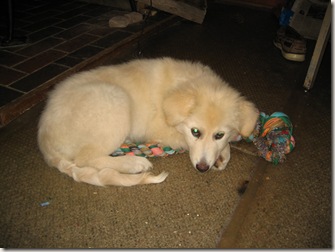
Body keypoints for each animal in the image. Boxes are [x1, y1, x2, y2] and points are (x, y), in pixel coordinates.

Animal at [39, 57, 260, 187]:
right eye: (195, 132)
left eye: (219, 134)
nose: (203, 168)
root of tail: (44, 140)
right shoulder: (160, 129)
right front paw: (223, 153)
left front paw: (223, 154)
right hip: (115, 100)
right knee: (85, 158)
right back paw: (133, 162)